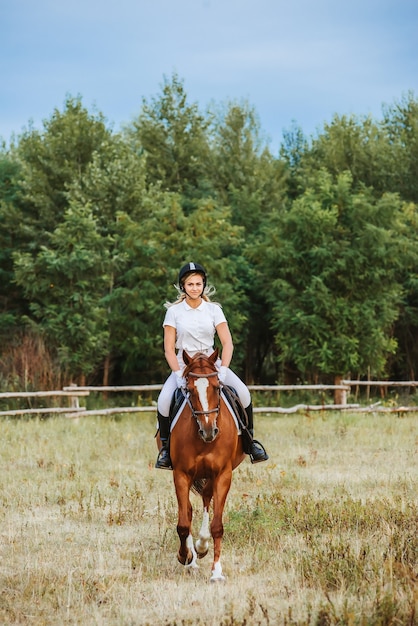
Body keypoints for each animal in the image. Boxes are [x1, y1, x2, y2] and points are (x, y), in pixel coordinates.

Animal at [162, 346, 245, 580]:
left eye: (217, 387)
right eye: (189, 390)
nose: (209, 431)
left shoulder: (224, 474)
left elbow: (217, 525)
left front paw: (216, 572)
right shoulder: (180, 473)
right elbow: (183, 522)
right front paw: (185, 557)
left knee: (207, 498)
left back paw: (201, 546)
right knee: (189, 511)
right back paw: (192, 559)